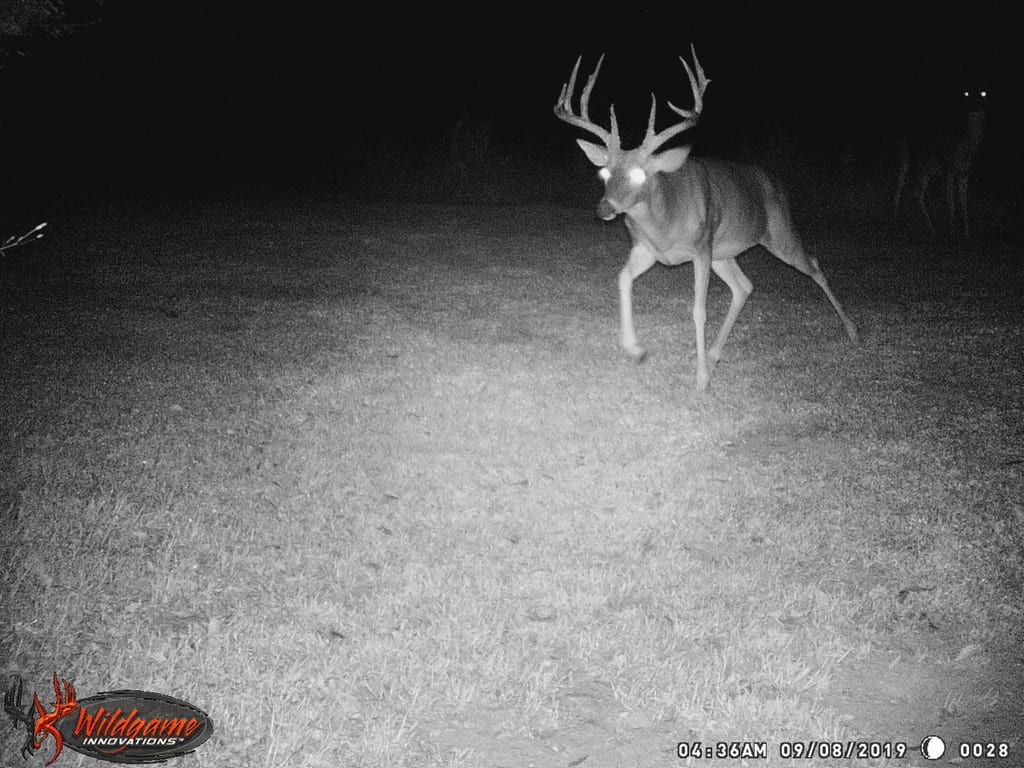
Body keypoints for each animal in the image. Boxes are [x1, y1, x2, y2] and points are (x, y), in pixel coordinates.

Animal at [554, 47, 859, 391]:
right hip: (723, 253)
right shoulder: (648, 250)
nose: (604, 208)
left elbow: (699, 310)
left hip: (778, 235)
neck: (664, 223)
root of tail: (776, 182)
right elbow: (622, 279)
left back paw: (852, 331)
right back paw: (713, 355)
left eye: (638, 174)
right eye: (604, 172)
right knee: (744, 287)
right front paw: (635, 350)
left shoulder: (701, 247)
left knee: (814, 265)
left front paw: (700, 380)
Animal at [893, 87, 987, 240]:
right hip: (906, 159)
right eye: (966, 94)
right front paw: (951, 233)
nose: (975, 107)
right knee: (899, 189)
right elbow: (952, 203)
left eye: (983, 94)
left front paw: (967, 234)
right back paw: (895, 223)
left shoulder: (965, 173)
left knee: (916, 194)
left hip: (926, 169)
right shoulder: (948, 169)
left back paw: (932, 230)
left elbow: (963, 204)